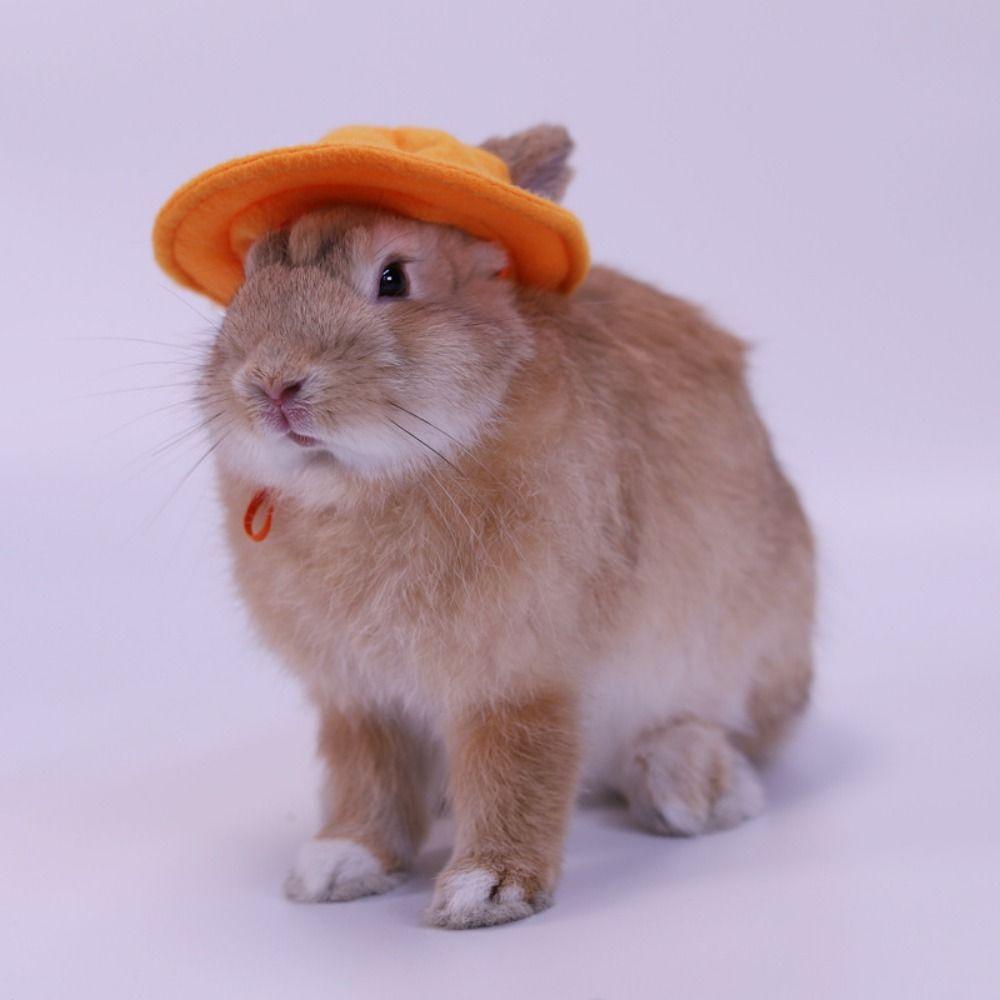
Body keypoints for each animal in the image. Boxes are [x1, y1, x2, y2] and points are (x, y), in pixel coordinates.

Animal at [199, 124, 815, 929]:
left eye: (393, 279)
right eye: (249, 279)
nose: (272, 383)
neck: (367, 482)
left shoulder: (520, 674)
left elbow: (518, 764)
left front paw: (487, 890)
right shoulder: (361, 699)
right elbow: (366, 774)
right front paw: (337, 864)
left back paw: (694, 788)